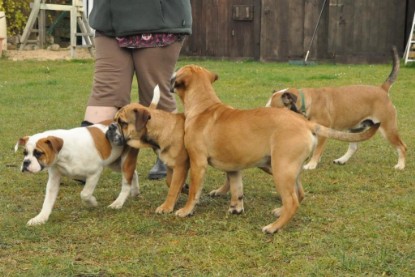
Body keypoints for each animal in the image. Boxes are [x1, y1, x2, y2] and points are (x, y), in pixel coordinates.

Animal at [171, 64, 382, 233]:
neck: (204, 106)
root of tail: (306, 123)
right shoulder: (234, 167)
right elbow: (236, 188)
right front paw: (236, 208)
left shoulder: (198, 163)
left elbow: (194, 192)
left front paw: (186, 210)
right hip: (289, 170)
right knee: (299, 194)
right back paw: (280, 212)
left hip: (281, 169)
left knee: (293, 201)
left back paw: (273, 227)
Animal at [266, 46, 406, 169]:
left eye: (273, 109)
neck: (306, 101)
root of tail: (382, 89)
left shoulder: (323, 132)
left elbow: (317, 149)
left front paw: (311, 164)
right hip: (356, 128)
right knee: (353, 146)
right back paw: (342, 160)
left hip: (388, 129)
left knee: (402, 146)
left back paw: (400, 165)